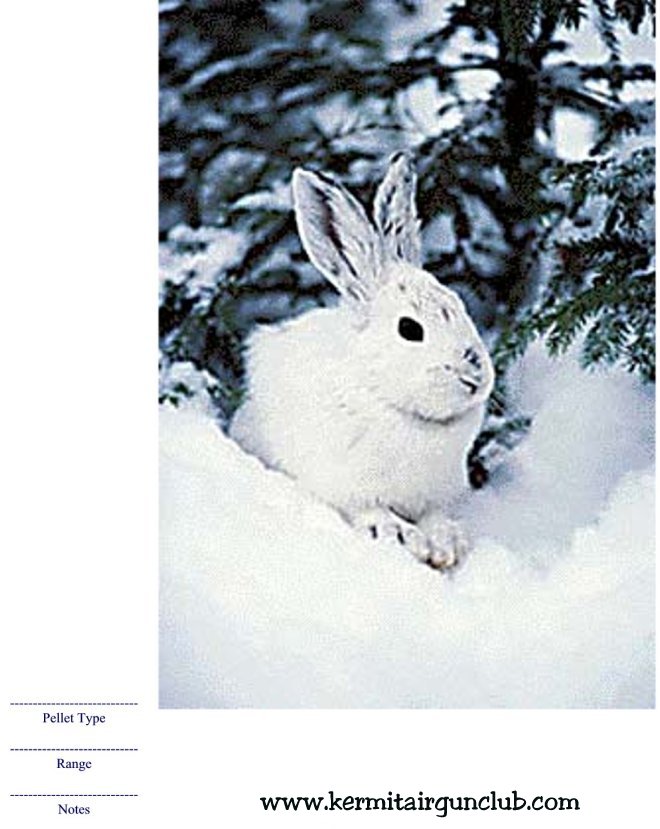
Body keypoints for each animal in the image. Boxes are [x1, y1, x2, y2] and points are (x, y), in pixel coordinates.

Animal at [230, 153, 494, 570]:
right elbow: (369, 510)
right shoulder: (345, 485)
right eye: (409, 329)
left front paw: (446, 544)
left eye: (459, 305)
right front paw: (400, 537)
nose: (475, 376)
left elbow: (435, 515)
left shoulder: (436, 494)